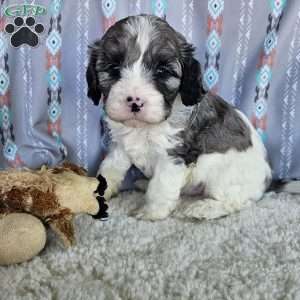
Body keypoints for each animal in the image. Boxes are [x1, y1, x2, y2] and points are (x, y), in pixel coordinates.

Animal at [86, 14, 272, 220]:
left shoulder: (174, 155)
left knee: (237, 202)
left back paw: (204, 208)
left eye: (162, 71)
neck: (144, 127)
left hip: (225, 176)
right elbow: (109, 169)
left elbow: (160, 186)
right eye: (114, 68)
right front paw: (97, 195)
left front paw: (152, 211)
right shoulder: (119, 146)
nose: (135, 101)